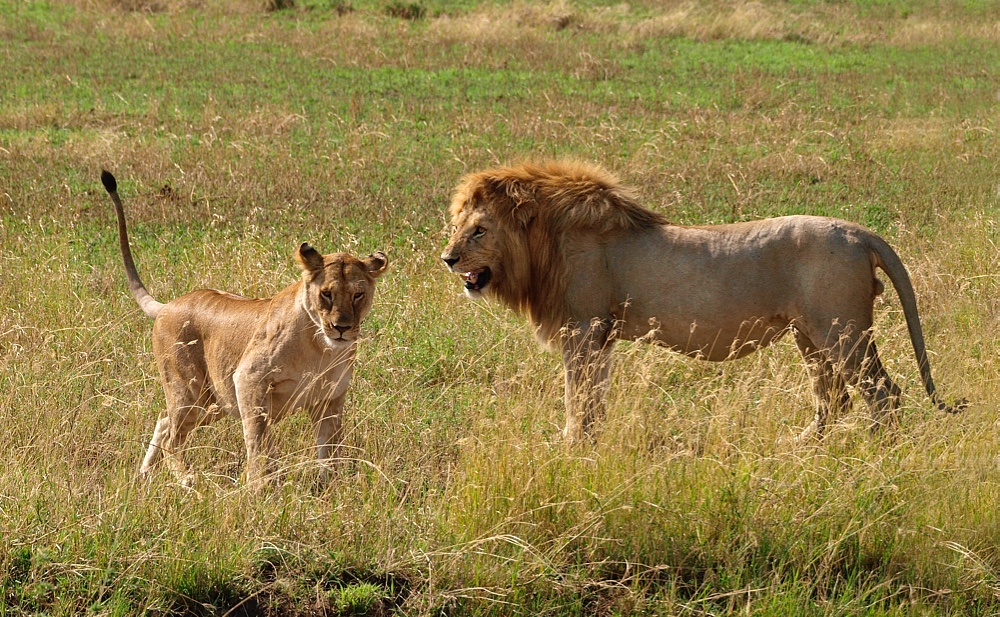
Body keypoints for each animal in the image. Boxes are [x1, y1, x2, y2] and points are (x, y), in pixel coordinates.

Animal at [101, 171, 388, 484]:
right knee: (172, 439)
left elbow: (329, 454)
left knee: (164, 420)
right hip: (190, 389)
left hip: (216, 400)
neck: (320, 348)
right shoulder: (249, 380)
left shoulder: (330, 399)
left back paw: (143, 476)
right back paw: (186, 481)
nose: (341, 327)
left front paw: (327, 487)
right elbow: (259, 442)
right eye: (326, 293)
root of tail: (169, 306)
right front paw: (260, 487)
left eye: (358, 295)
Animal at [442, 159, 964, 438]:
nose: (447, 258)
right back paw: (798, 450)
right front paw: (590, 445)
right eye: (457, 225)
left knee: (884, 394)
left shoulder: (584, 330)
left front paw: (572, 450)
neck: (544, 247)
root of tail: (860, 234)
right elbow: (594, 402)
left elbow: (579, 401)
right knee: (834, 400)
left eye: (479, 229)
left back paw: (874, 458)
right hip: (810, 336)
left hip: (843, 332)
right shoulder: (601, 336)